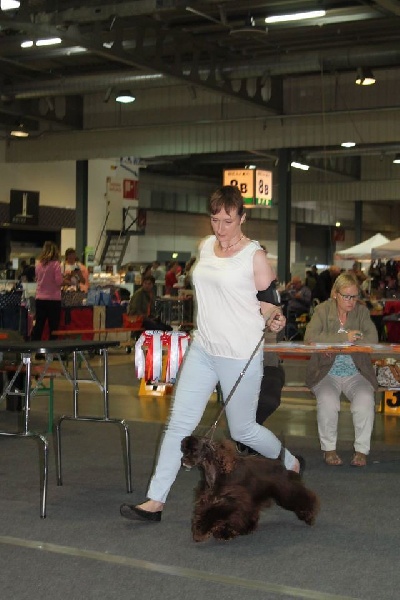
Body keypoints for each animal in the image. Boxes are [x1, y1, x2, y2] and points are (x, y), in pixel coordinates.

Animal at [181, 435, 319, 542]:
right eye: (184, 450)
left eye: (194, 450)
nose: (183, 460)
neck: (217, 471)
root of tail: (279, 462)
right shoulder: (208, 499)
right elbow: (205, 513)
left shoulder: (229, 500)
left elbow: (214, 514)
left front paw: (208, 532)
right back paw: (248, 528)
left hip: (285, 492)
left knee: (304, 497)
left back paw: (309, 516)